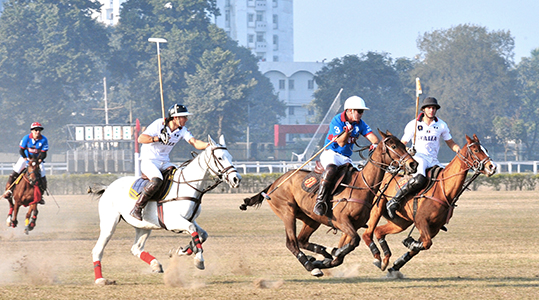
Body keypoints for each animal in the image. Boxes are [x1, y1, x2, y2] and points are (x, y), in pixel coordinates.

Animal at [89, 136, 242, 286]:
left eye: (230, 156)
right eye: (220, 158)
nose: (236, 179)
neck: (189, 186)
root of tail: (108, 187)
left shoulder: (189, 219)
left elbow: (202, 235)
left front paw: (183, 250)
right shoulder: (172, 221)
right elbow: (193, 231)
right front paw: (198, 259)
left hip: (144, 226)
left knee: (136, 248)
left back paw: (156, 264)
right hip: (110, 222)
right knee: (98, 249)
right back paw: (100, 280)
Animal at [242, 130, 418, 276]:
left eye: (404, 145)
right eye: (394, 146)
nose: (413, 164)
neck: (362, 185)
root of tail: (273, 184)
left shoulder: (353, 225)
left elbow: (344, 251)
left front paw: (329, 257)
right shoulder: (341, 221)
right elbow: (354, 241)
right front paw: (332, 255)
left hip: (310, 219)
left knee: (301, 240)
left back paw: (321, 254)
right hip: (287, 212)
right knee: (292, 243)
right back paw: (311, 266)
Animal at [362, 135, 498, 276]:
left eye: (486, 149)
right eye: (476, 150)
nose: (492, 167)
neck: (444, 190)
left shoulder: (434, 227)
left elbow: (420, 246)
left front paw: (396, 266)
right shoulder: (421, 221)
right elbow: (426, 243)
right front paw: (409, 242)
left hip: (401, 222)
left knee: (379, 231)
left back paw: (385, 260)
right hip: (377, 209)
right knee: (367, 233)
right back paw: (377, 258)